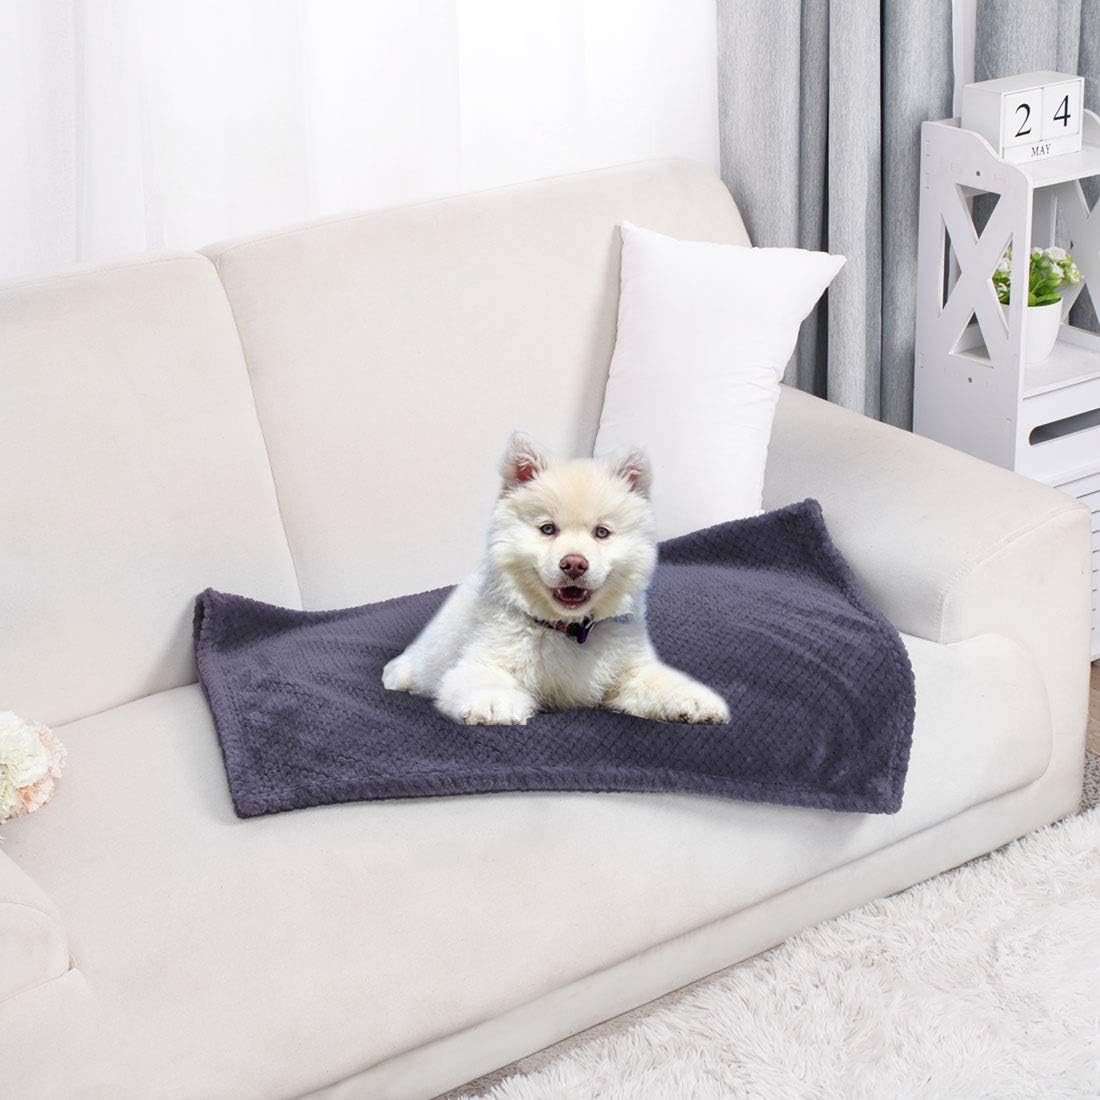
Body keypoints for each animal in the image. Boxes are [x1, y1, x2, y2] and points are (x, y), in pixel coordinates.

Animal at [382, 432, 730, 727]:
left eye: (601, 532)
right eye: (548, 529)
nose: (574, 564)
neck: (568, 630)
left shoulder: (626, 672)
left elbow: (658, 681)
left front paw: (694, 700)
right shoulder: (481, 659)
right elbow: (483, 679)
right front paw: (492, 704)